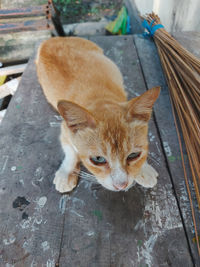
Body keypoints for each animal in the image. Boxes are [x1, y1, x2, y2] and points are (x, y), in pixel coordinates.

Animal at [36, 37, 160, 193]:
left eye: (133, 155)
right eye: (98, 159)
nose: (121, 185)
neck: (100, 99)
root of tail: (51, 40)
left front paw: (144, 170)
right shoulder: (64, 130)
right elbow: (70, 153)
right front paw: (66, 173)